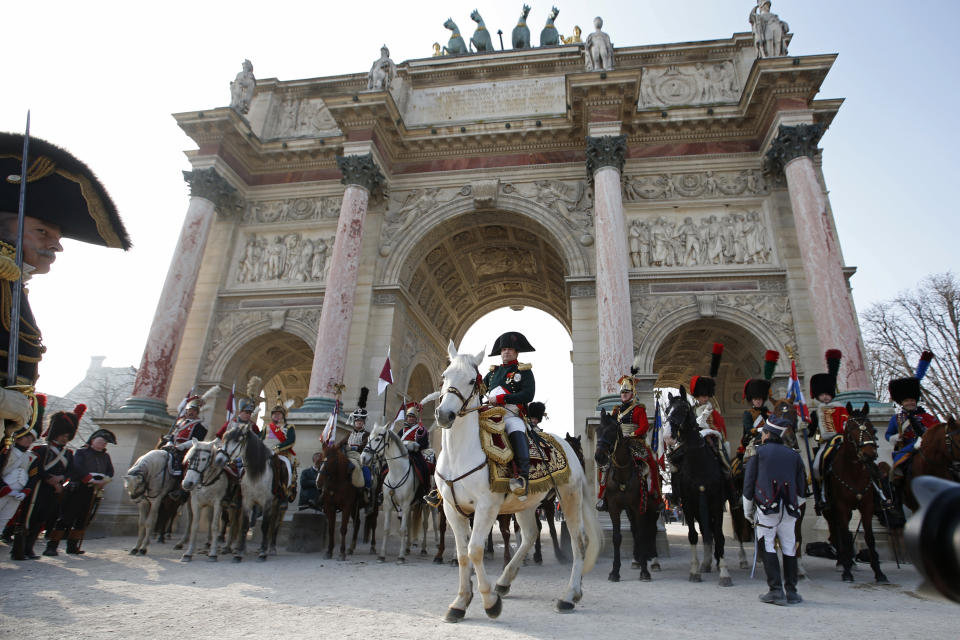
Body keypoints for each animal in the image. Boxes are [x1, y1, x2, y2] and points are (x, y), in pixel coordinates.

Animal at [218, 422, 286, 564]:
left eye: (238, 440)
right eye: (224, 438)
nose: (219, 459)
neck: (256, 473)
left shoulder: (267, 502)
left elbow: (265, 526)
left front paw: (262, 554)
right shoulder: (247, 501)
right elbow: (244, 525)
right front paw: (238, 554)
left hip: (279, 504)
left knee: (275, 524)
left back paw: (271, 548)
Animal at [436, 342, 600, 624]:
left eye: (470, 380)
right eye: (445, 375)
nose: (444, 414)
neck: (460, 453)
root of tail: (566, 445)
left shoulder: (486, 507)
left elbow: (475, 550)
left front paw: (489, 602)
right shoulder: (452, 509)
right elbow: (462, 554)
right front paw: (460, 602)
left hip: (568, 497)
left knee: (579, 541)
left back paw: (569, 595)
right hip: (526, 504)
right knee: (531, 534)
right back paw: (505, 582)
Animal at [592, 410, 660, 580]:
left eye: (612, 431)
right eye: (598, 431)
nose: (599, 457)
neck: (623, 474)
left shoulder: (638, 506)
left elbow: (643, 534)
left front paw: (645, 571)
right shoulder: (614, 508)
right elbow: (617, 537)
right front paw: (615, 571)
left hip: (652, 508)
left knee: (652, 530)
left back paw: (653, 561)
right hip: (629, 510)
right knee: (635, 530)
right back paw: (637, 560)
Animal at [668, 388, 736, 588]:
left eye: (684, 409)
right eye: (667, 410)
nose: (668, 436)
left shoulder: (715, 502)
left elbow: (719, 536)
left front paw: (724, 573)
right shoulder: (689, 504)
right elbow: (693, 535)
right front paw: (695, 570)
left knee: (719, 530)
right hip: (699, 507)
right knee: (706, 531)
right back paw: (706, 563)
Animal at [816, 404, 892, 584]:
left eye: (872, 427)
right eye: (850, 428)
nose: (869, 454)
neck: (853, 471)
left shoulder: (867, 505)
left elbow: (870, 537)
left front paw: (879, 572)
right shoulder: (841, 506)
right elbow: (843, 535)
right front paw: (847, 572)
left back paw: (846, 561)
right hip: (830, 510)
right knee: (835, 532)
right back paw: (843, 562)